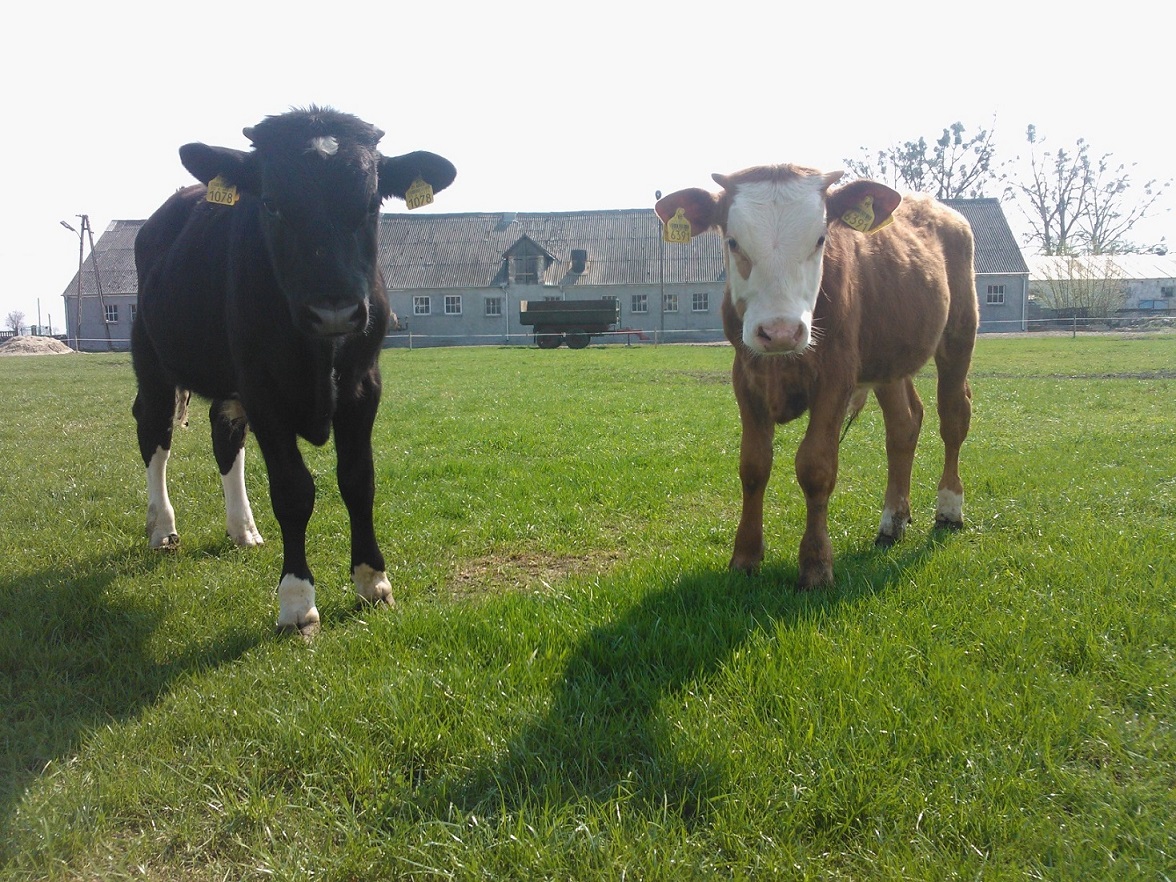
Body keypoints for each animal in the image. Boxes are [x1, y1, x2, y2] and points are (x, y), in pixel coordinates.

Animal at [132, 106, 456, 636]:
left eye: (370, 205)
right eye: (272, 204)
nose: (333, 311)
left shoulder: (364, 385)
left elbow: (358, 480)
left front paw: (373, 581)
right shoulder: (264, 389)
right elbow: (292, 490)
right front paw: (297, 602)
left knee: (225, 435)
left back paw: (242, 529)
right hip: (152, 358)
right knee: (154, 433)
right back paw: (162, 527)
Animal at [655, 165, 977, 589]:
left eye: (821, 238)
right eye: (733, 241)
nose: (780, 332)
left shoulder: (836, 377)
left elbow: (816, 466)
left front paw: (816, 565)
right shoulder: (745, 376)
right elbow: (753, 465)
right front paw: (745, 556)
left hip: (959, 331)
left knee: (953, 417)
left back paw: (949, 508)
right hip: (887, 358)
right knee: (904, 426)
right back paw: (892, 521)